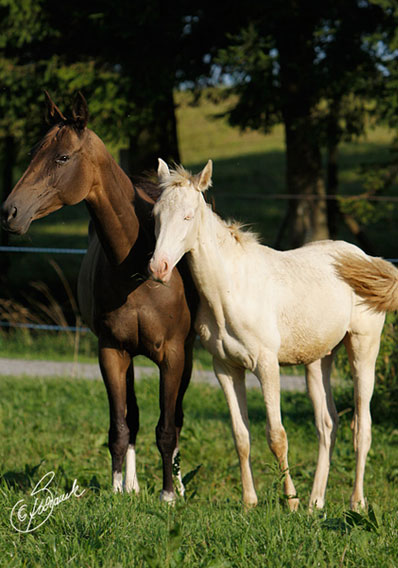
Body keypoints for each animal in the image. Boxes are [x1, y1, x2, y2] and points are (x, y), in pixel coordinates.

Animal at [1, 94, 197, 502]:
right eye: (32, 152)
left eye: (62, 157)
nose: (9, 212)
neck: (138, 269)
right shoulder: (110, 351)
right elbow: (120, 427)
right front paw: (118, 488)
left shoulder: (173, 354)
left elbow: (167, 427)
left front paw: (169, 495)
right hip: (130, 355)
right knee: (133, 417)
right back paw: (133, 485)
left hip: (186, 355)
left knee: (176, 417)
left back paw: (179, 484)